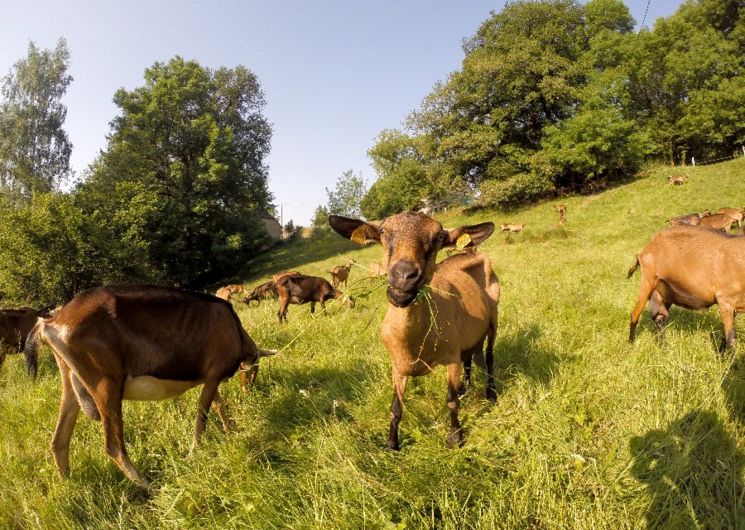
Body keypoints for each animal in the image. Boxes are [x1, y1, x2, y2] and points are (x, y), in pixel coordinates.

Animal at [26, 284, 278, 486]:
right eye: (254, 372)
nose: (249, 392)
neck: (233, 327)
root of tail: (50, 323)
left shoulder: (208, 379)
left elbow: (217, 404)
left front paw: (231, 430)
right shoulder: (214, 373)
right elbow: (202, 415)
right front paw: (194, 452)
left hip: (71, 382)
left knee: (59, 440)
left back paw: (69, 484)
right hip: (106, 385)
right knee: (113, 446)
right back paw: (149, 485)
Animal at [326, 212, 496, 448]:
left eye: (439, 236)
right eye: (382, 232)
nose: (404, 275)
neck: (414, 345)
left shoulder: (451, 357)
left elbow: (451, 402)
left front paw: (456, 437)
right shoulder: (397, 366)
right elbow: (395, 408)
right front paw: (391, 444)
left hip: (494, 316)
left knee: (489, 357)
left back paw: (491, 393)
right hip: (469, 338)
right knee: (470, 359)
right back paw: (466, 388)